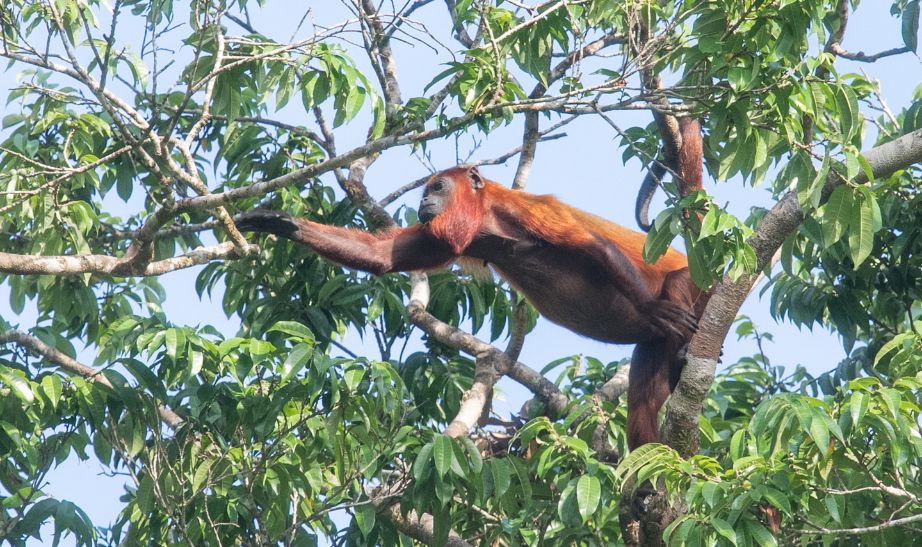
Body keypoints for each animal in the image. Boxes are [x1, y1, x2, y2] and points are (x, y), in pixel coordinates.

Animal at [236, 166, 707, 449]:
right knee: (642, 404)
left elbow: (599, 249)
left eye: (437, 186)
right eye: (426, 191)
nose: (423, 202)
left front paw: (649, 304)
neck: (492, 219)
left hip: (699, 288)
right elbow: (385, 256)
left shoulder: (527, 210)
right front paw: (278, 222)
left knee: (676, 286)